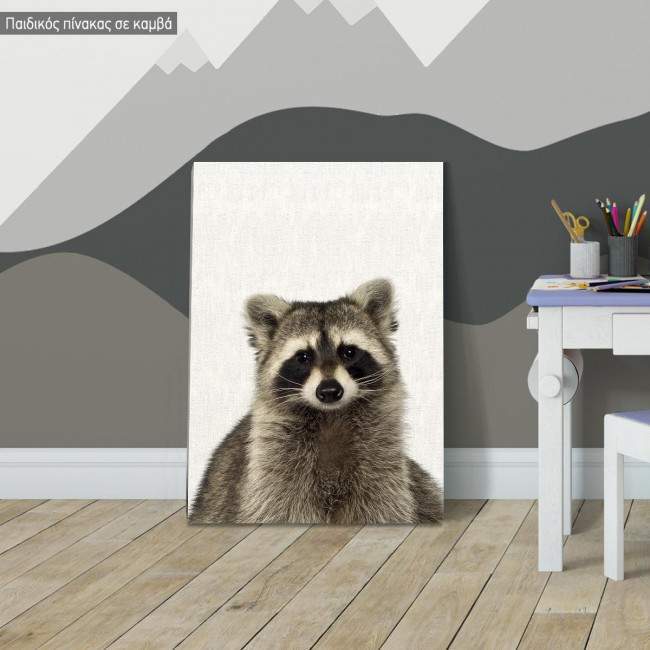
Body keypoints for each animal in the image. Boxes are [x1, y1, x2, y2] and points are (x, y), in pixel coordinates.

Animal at [191, 279, 442, 524]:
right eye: (303, 357)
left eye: (348, 352)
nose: (329, 391)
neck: (330, 417)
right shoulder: (273, 469)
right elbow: (281, 506)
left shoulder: (381, 464)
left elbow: (381, 504)